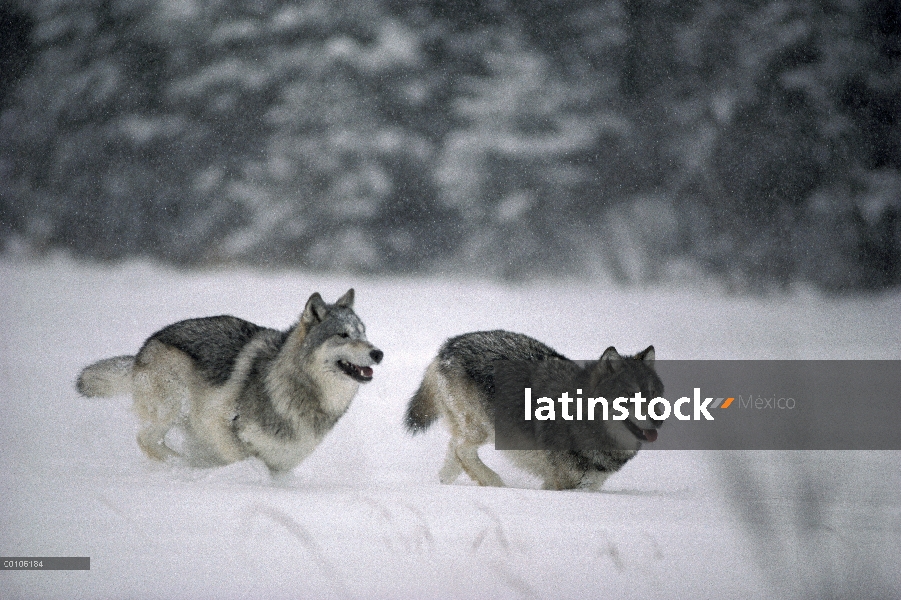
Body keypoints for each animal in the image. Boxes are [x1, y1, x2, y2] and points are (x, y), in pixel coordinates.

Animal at [78, 288, 384, 472]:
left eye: (363, 332)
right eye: (343, 335)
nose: (378, 353)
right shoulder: (217, 421)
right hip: (174, 405)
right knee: (145, 439)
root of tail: (144, 347)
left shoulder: (282, 460)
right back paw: (183, 466)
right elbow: (244, 459)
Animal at [404, 330, 656, 490]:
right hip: (483, 430)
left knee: (453, 453)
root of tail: (449, 345)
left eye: (654, 394)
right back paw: (496, 484)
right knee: (461, 450)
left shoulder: (584, 486)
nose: (658, 420)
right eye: (630, 396)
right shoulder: (563, 484)